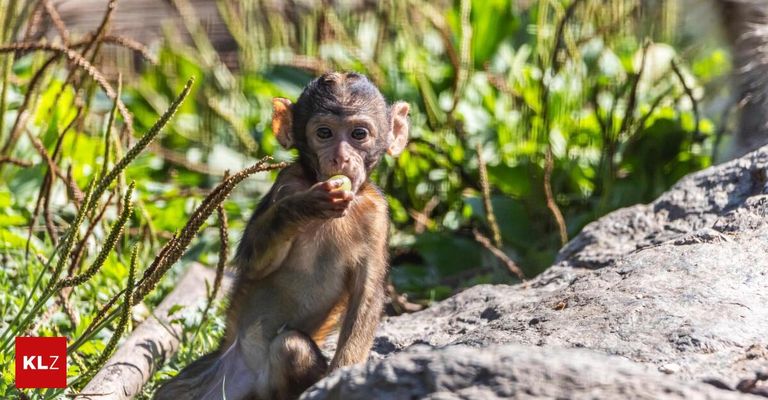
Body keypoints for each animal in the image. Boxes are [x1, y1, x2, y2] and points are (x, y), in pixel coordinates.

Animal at [154, 72, 410, 400]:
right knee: (170, 392)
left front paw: (342, 377)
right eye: (324, 133)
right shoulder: (287, 183)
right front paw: (304, 207)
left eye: (358, 134)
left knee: (291, 347)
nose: (340, 158)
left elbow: (367, 292)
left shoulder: (377, 213)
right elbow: (252, 263)